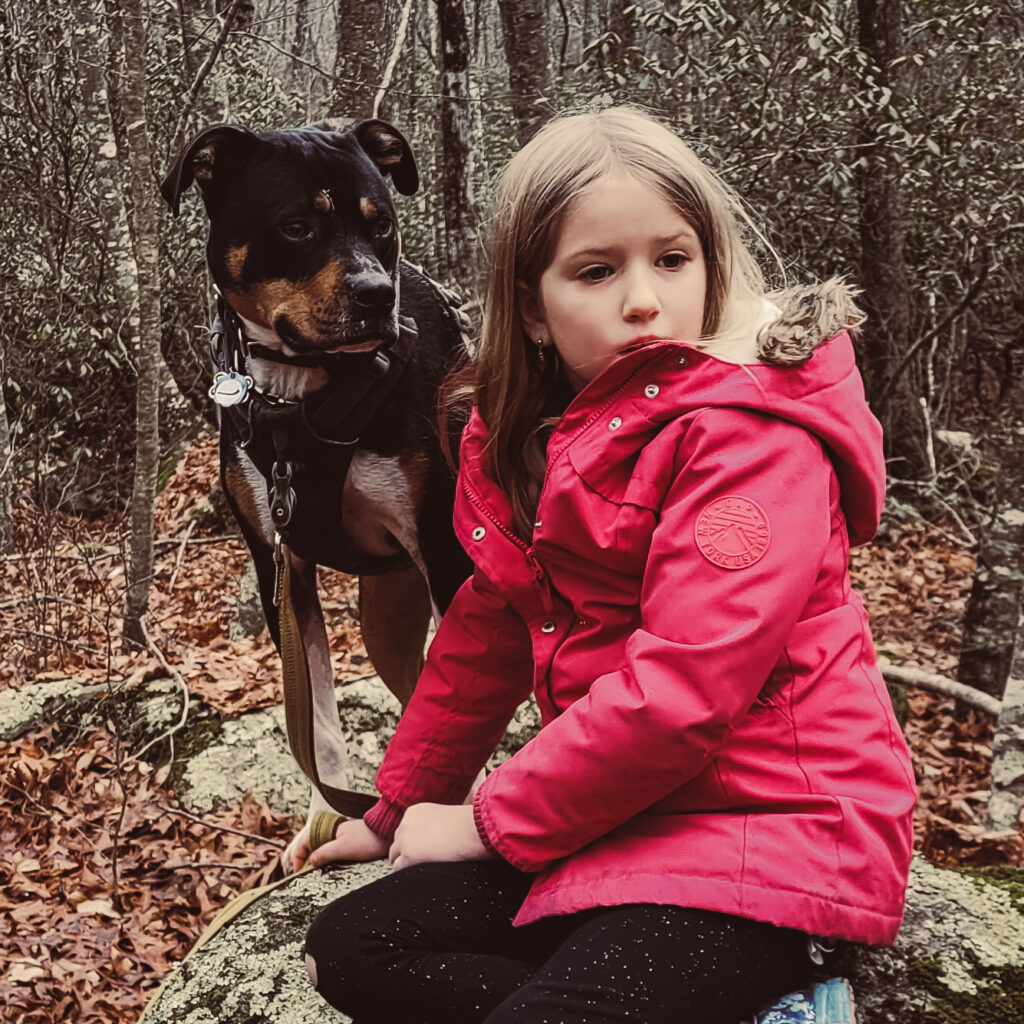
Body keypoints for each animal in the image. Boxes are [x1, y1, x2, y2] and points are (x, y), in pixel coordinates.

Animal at [162, 116, 471, 860]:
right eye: (297, 226)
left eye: (382, 225)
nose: (376, 294)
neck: (303, 398)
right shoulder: (281, 565)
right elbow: (321, 723)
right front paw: (327, 818)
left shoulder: (443, 550)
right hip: (386, 620)